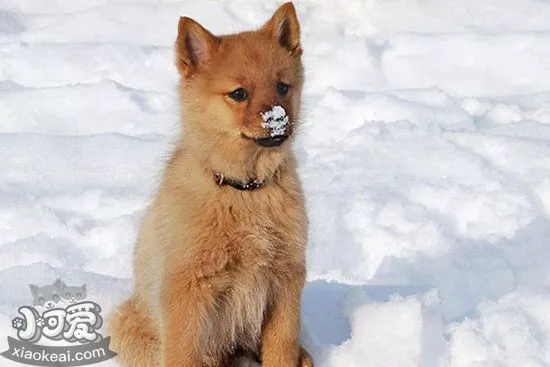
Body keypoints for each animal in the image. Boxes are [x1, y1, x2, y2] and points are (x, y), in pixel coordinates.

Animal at [109, 2, 312, 367]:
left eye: (283, 87)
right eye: (238, 94)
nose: (278, 119)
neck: (244, 191)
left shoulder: (285, 280)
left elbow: (281, 348)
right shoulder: (187, 289)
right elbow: (182, 353)